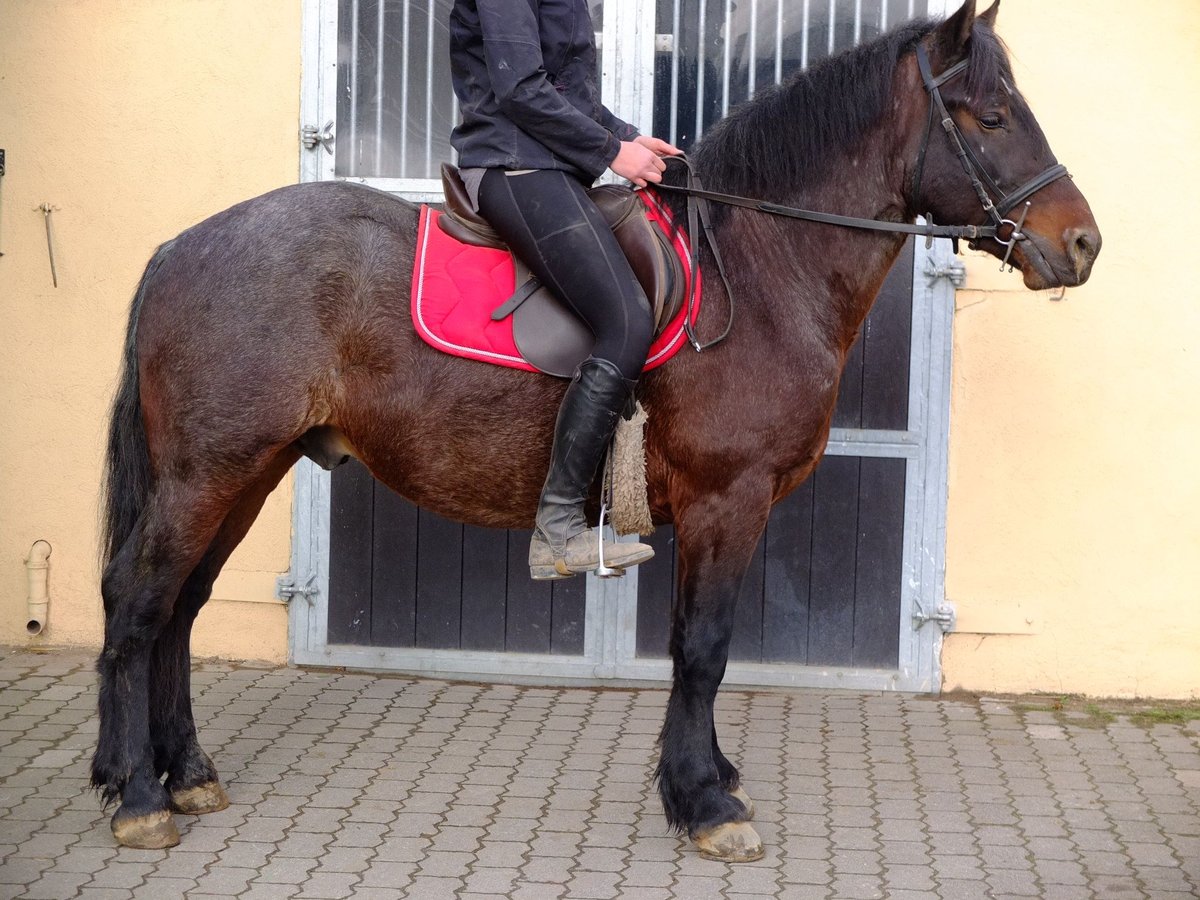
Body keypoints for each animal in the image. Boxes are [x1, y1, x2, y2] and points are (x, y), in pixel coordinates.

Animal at [93, 0, 1099, 859]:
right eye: (992, 117)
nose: (1083, 243)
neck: (757, 271)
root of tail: (183, 246)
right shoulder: (727, 499)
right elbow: (704, 647)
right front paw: (706, 804)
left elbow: (698, 645)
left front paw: (706, 777)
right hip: (207, 473)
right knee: (139, 602)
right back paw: (139, 797)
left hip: (247, 470)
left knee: (181, 605)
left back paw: (185, 775)